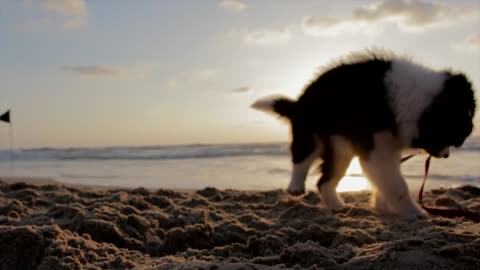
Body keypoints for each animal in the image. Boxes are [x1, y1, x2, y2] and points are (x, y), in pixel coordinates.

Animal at [251, 50, 476, 219]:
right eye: (454, 137)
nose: (446, 155)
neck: (417, 101)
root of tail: (299, 103)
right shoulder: (378, 148)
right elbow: (397, 185)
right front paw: (416, 213)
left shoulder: (388, 146)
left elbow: (386, 181)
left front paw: (383, 206)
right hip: (312, 134)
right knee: (303, 157)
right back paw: (296, 186)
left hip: (341, 149)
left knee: (324, 181)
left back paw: (337, 205)